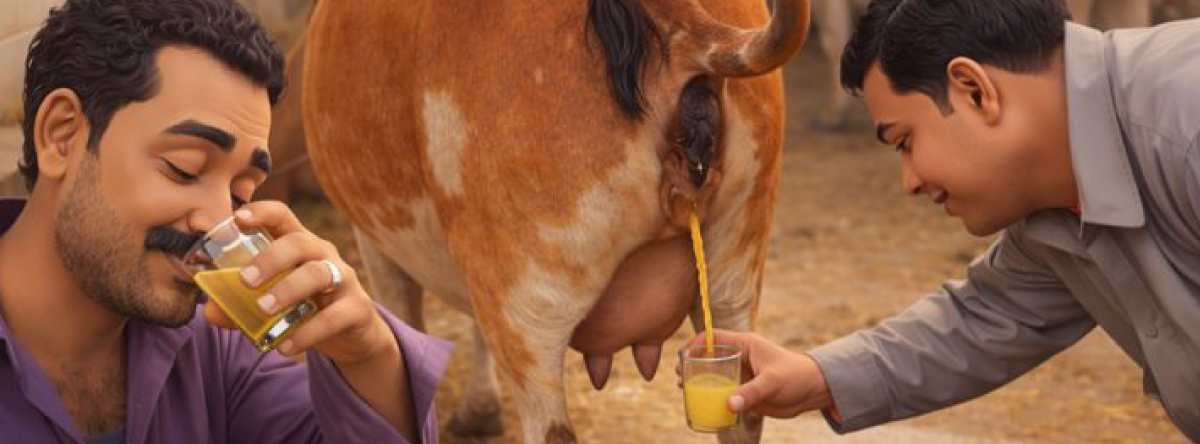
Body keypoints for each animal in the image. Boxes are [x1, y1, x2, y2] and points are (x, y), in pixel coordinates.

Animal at [299, 0, 810, 442]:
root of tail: (677, 21)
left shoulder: (379, 240)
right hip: (736, 268)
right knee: (745, 410)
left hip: (526, 298)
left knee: (551, 427)